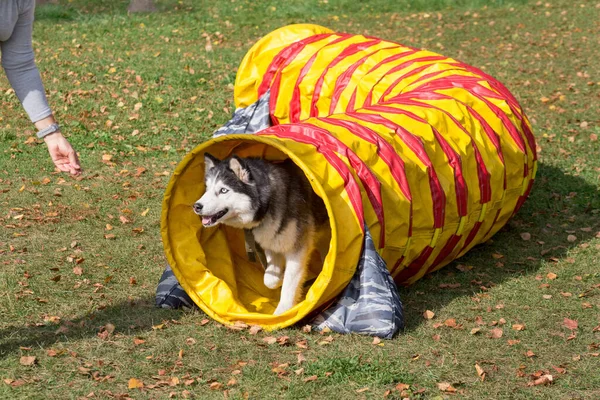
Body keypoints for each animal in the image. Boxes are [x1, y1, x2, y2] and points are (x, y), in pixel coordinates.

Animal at [193, 154, 328, 316]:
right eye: (207, 189)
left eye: (223, 190)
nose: (196, 206)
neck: (267, 204)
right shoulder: (272, 243)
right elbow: (269, 280)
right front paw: (279, 278)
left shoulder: (297, 249)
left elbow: (289, 285)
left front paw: (282, 312)